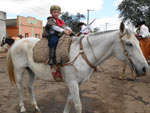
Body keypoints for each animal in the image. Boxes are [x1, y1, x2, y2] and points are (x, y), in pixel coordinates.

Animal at [6, 22, 149, 113]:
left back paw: (36, 107)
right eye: (129, 43)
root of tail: (17, 43)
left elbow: (70, 101)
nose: (144, 68)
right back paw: (22, 108)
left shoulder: (76, 83)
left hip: (31, 71)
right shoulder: (73, 83)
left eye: (138, 42)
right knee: (19, 88)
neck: (84, 53)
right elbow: (78, 105)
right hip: (19, 70)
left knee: (30, 87)